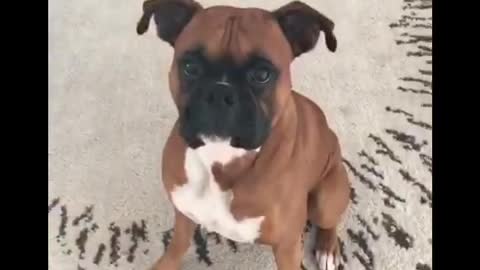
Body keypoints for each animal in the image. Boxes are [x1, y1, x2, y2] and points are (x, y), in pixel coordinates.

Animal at [137, 0, 350, 270]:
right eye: (190, 67)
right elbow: (177, 245)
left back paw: (327, 249)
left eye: (262, 74)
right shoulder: (184, 214)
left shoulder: (288, 247)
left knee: (329, 221)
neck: (220, 159)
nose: (220, 93)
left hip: (327, 196)